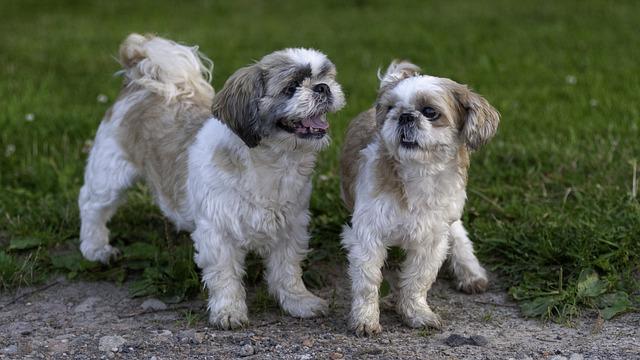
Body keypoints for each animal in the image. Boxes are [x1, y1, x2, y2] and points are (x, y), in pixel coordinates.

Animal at [79, 34, 344, 330]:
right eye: (291, 87)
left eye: (325, 76)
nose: (322, 87)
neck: (271, 162)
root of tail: (139, 81)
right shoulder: (218, 231)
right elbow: (224, 275)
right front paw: (228, 311)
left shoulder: (290, 226)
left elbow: (287, 270)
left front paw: (299, 301)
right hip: (110, 172)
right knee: (92, 206)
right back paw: (96, 249)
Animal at [340, 59, 500, 334]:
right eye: (390, 108)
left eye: (430, 112)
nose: (404, 115)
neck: (419, 174)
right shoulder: (368, 234)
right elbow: (367, 282)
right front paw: (365, 319)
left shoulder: (432, 239)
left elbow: (418, 280)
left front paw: (416, 313)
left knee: (458, 233)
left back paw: (470, 272)